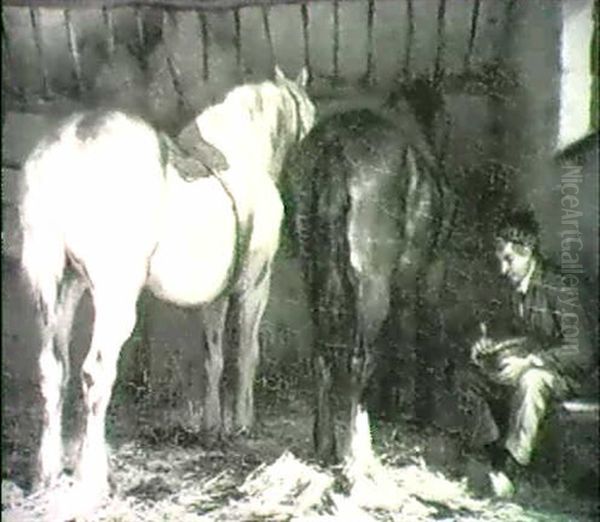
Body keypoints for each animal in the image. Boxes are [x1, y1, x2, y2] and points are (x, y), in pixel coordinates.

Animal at [19, 66, 314, 512]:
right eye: (309, 120)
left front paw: (213, 426)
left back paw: (47, 474)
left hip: (58, 287)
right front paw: (242, 423)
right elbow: (246, 353)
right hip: (113, 298)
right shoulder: (253, 288)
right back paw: (93, 479)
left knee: (53, 369)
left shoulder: (215, 298)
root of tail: (69, 148)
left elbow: (213, 358)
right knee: (95, 373)